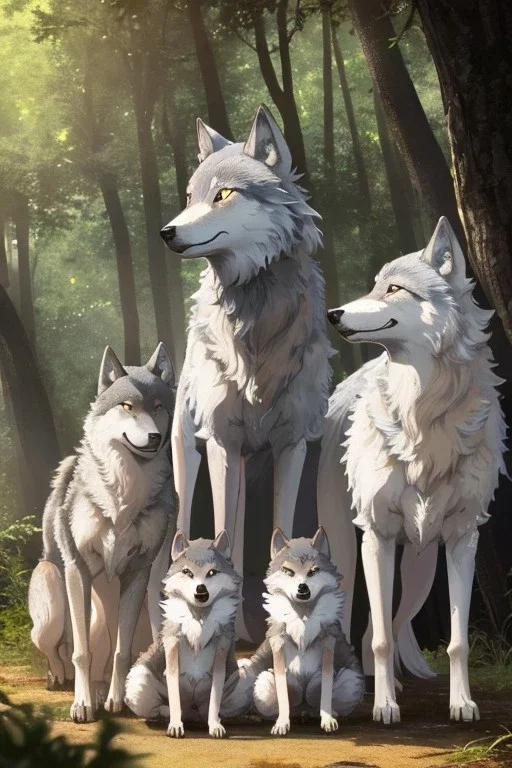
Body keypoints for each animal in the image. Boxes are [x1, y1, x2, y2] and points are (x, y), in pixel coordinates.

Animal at [28, 343, 177, 723]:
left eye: (159, 407)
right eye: (127, 406)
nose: (155, 437)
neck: (124, 495)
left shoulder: (139, 575)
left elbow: (122, 653)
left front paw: (116, 701)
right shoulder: (78, 571)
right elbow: (81, 653)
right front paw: (81, 707)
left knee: (112, 653)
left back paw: (99, 692)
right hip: (54, 607)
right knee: (59, 650)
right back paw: (61, 679)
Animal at [125, 530, 253, 738]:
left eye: (211, 572)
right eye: (187, 572)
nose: (201, 589)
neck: (199, 618)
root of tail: (193, 714)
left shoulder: (221, 654)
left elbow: (215, 699)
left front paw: (215, 726)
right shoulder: (172, 651)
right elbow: (174, 697)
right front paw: (175, 725)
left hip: (244, 683)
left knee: (216, 709)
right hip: (138, 682)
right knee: (159, 709)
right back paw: (170, 716)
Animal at [160, 105, 333, 621]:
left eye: (223, 195)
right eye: (190, 197)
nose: (166, 232)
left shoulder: (292, 445)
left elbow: (280, 531)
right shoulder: (222, 441)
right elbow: (222, 541)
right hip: (194, 456)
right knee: (192, 527)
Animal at [244, 527, 364, 735]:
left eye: (313, 571)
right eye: (288, 571)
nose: (303, 588)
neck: (303, 618)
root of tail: (303, 711)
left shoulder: (328, 647)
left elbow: (323, 688)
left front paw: (328, 720)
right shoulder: (278, 648)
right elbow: (283, 693)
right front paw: (282, 724)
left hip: (350, 679)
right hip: (264, 682)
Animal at [319, 217, 506, 724]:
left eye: (394, 289)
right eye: (373, 286)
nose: (333, 314)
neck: (423, 411)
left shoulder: (463, 539)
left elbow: (457, 642)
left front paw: (462, 704)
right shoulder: (378, 535)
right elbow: (381, 638)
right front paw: (385, 707)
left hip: (421, 564)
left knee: (390, 619)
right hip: (347, 544)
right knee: (356, 619)